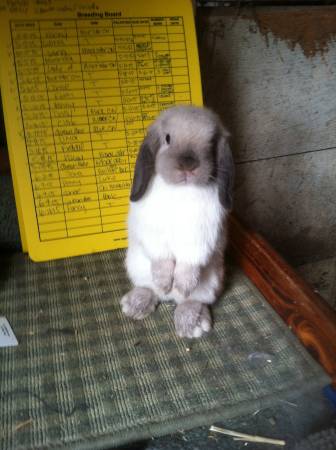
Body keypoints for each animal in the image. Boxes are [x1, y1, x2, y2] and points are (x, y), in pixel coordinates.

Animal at [121, 104, 234, 338]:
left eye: (211, 143)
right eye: (167, 138)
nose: (188, 165)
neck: (181, 190)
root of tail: (169, 300)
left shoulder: (200, 236)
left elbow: (188, 263)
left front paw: (181, 285)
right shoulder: (153, 232)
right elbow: (162, 259)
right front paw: (165, 283)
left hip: (211, 281)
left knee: (192, 300)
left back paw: (190, 322)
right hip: (135, 264)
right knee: (151, 289)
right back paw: (139, 303)